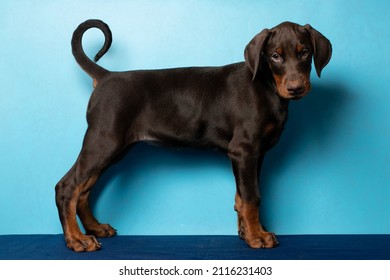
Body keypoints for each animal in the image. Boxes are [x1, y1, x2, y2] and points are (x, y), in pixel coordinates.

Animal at [54, 19, 330, 252]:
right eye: (275, 56)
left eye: (305, 53)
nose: (295, 88)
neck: (266, 84)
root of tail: (106, 77)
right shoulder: (244, 150)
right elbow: (252, 196)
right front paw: (256, 237)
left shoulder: (256, 155)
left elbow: (243, 196)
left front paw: (246, 232)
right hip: (104, 140)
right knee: (67, 187)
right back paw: (77, 240)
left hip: (115, 147)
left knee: (84, 190)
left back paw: (94, 229)